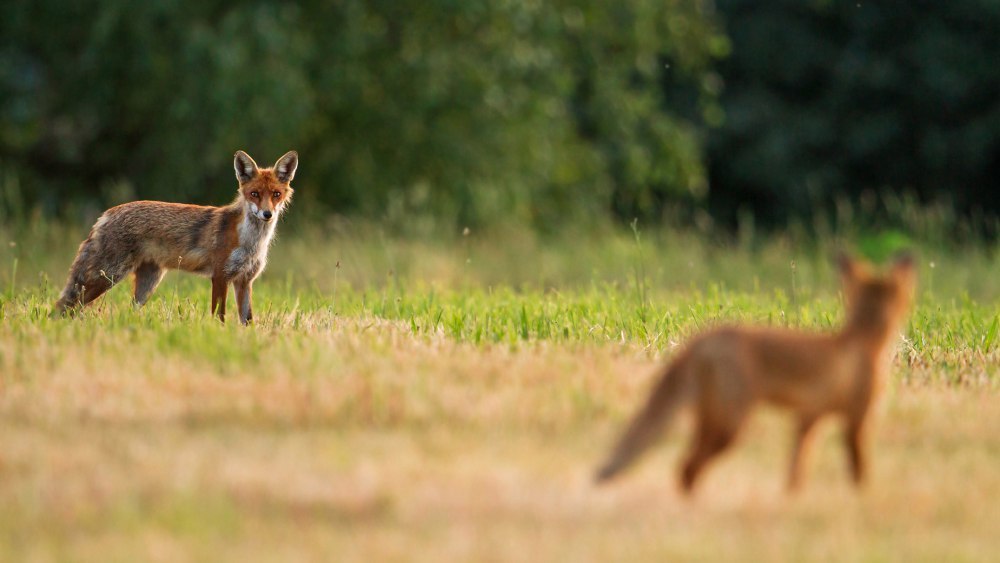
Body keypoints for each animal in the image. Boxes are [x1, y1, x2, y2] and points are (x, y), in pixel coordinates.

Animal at [54, 151, 296, 326]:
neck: (251, 242)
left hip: (147, 284)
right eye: (254, 194)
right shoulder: (220, 276)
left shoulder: (245, 281)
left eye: (276, 194)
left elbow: (248, 320)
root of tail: (106, 214)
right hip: (107, 277)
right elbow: (219, 316)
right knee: (67, 306)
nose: (267, 214)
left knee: (124, 310)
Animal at [592, 253, 916, 496]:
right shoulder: (854, 419)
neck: (859, 342)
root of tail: (704, 339)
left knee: (686, 466)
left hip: (712, 418)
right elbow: (858, 472)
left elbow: (797, 469)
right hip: (731, 425)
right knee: (687, 468)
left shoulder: (808, 418)